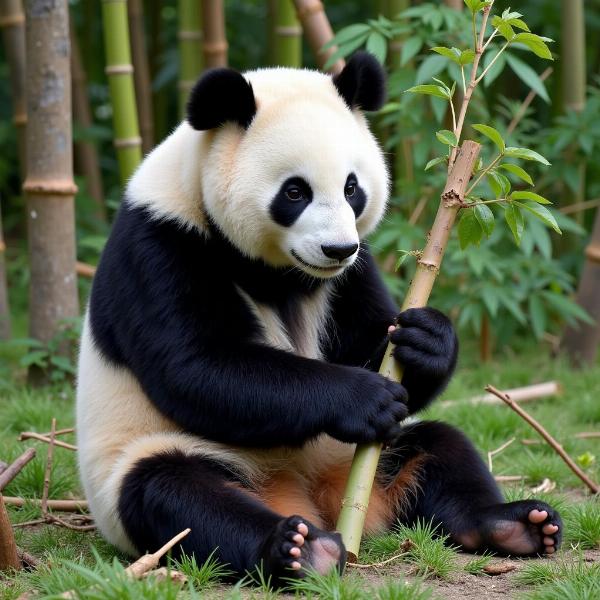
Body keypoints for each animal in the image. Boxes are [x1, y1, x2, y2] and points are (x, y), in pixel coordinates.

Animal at [76, 54, 564, 584]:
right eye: (295, 192)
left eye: (352, 188)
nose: (337, 249)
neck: (276, 269)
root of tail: (310, 497)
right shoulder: (161, 241)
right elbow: (198, 365)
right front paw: (363, 398)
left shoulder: (349, 274)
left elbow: (370, 339)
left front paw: (426, 340)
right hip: (146, 459)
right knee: (175, 494)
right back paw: (299, 548)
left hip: (355, 457)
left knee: (440, 448)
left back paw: (515, 524)